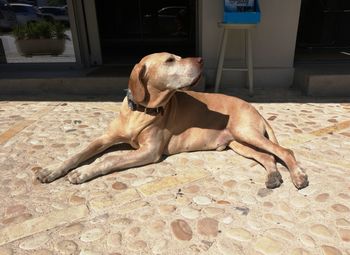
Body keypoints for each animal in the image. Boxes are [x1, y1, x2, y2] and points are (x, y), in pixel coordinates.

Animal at [35, 52, 308, 189]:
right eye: (169, 60)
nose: (201, 59)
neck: (141, 110)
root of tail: (254, 108)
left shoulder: (150, 151)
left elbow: (110, 159)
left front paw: (83, 173)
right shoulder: (105, 138)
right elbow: (78, 153)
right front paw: (52, 170)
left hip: (245, 132)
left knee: (285, 151)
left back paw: (298, 176)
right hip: (238, 142)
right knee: (268, 157)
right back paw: (273, 177)